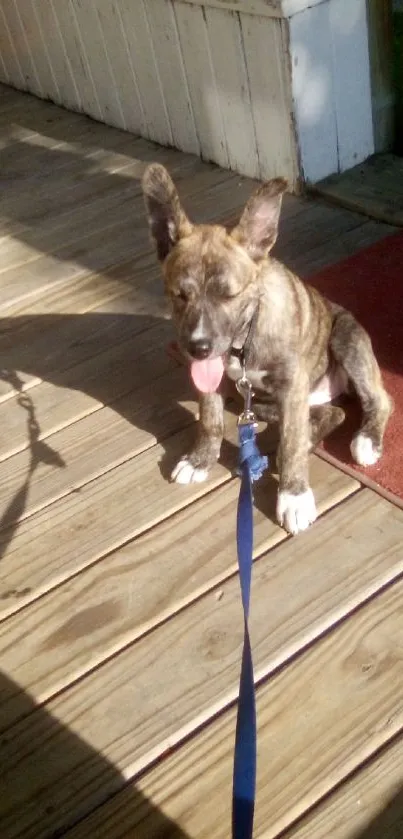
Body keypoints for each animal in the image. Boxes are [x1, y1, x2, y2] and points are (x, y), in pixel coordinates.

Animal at [143, 165, 394, 536]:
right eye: (179, 295)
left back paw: (365, 440)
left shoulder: (291, 385)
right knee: (330, 413)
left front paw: (294, 496)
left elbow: (290, 444)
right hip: (266, 398)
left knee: (377, 400)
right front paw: (201, 459)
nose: (199, 348)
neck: (243, 342)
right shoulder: (214, 380)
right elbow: (210, 418)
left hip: (345, 339)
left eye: (229, 295)